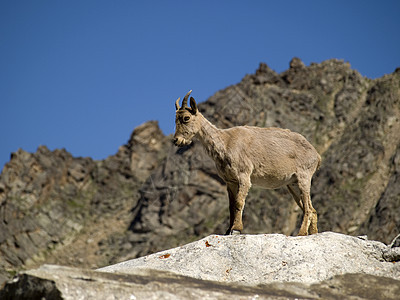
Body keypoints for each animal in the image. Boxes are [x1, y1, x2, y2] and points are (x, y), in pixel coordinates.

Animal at [173, 90, 320, 236]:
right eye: (175, 119)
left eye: (186, 118)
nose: (176, 140)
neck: (225, 143)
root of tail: (316, 155)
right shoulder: (230, 181)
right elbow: (231, 205)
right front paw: (228, 230)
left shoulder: (243, 175)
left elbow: (239, 202)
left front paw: (236, 229)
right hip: (292, 184)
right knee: (312, 209)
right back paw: (313, 233)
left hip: (304, 177)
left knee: (308, 208)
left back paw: (302, 233)